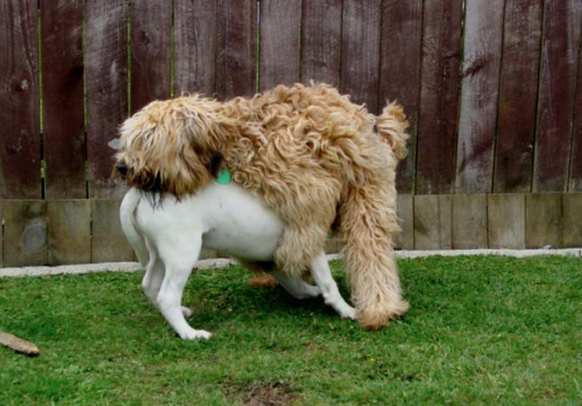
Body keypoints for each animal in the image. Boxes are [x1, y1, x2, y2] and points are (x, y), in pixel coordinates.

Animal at [120, 182, 356, 340]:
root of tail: (140, 192)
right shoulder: (311, 243)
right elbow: (328, 281)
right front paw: (347, 310)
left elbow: (292, 282)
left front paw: (309, 292)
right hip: (183, 252)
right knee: (167, 296)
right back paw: (190, 333)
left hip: (160, 252)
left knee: (150, 284)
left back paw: (181, 313)